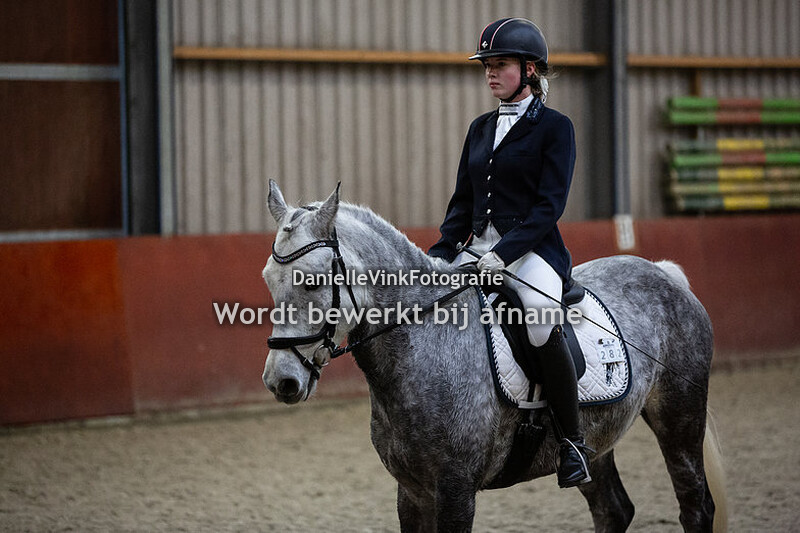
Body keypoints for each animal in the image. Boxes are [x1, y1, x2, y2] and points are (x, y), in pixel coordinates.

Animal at [261, 181, 727, 532]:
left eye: (312, 281)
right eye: (268, 279)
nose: (281, 381)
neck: (425, 344)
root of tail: (663, 273)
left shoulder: (456, 490)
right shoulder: (411, 491)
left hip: (680, 417)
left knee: (695, 506)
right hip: (597, 438)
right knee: (613, 510)